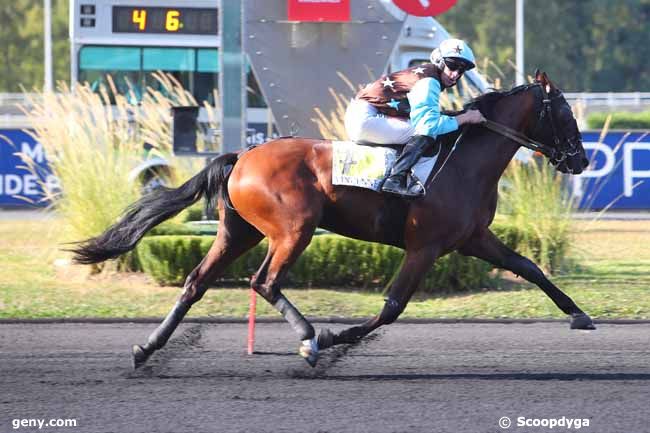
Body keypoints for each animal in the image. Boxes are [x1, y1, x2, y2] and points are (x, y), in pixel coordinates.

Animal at [69, 71, 592, 368]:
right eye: (564, 110)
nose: (582, 159)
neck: (465, 160)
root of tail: (243, 156)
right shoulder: (425, 246)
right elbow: (392, 307)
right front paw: (333, 336)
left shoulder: (472, 239)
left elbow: (529, 267)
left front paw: (580, 314)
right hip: (294, 228)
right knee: (264, 281)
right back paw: (307, 339)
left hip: (238, 232)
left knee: (197, 281)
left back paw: (146, 348)